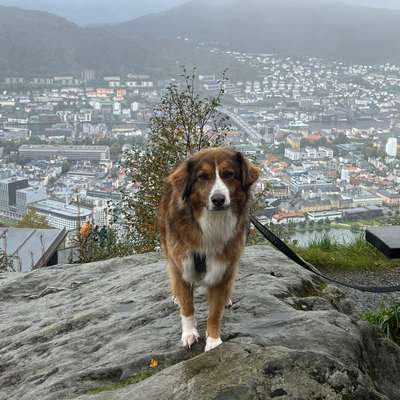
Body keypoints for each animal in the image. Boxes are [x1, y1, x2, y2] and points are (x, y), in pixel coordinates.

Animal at [158, 146, 260, 350]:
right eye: (202, 177)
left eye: (229, 174)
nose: (218, 199)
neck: (212, 222)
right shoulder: (182, 264)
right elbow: (187, 307)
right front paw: (189, 333)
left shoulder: (223, 268)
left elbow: (215, 312)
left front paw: (213, 341)